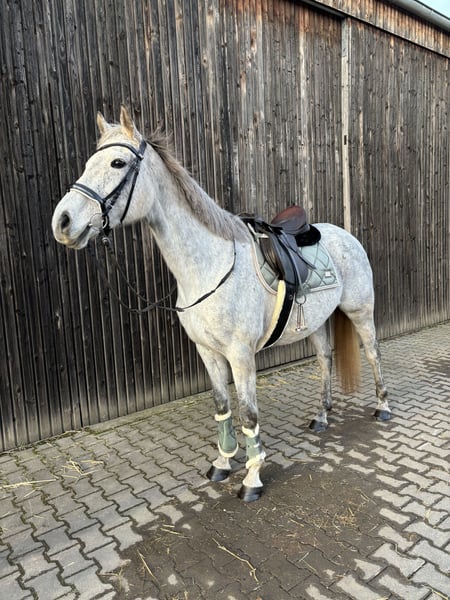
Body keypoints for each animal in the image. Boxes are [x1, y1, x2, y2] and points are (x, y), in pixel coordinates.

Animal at [52, 106, 390, 502]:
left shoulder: (240, 355)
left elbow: (249, 414)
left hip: (360, 312)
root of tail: (345, 235)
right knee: (325, 360)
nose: (63, 222)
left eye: (118, 162)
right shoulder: (208, 352)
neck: (210, 265)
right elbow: (222, 407)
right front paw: (223, 463)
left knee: (373, 353)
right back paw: (321, 417)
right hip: (318, 323)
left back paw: (383, 407)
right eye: (89, 162)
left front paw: (252, 478)